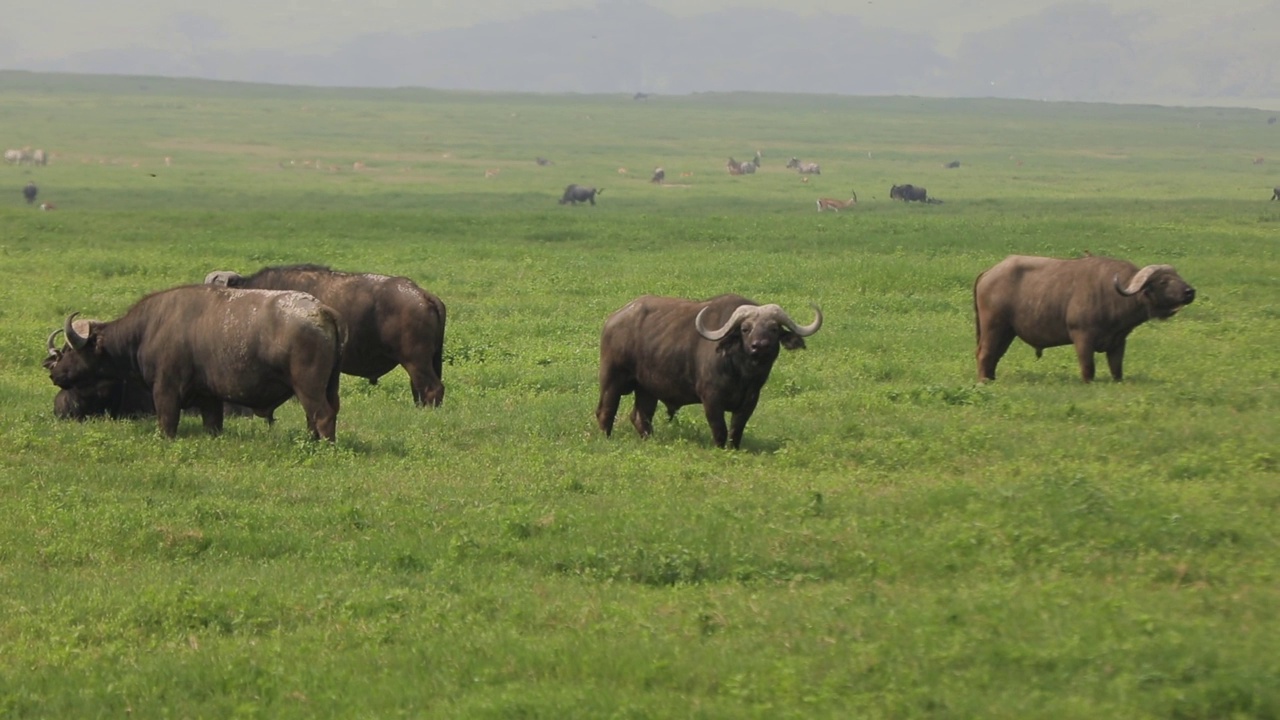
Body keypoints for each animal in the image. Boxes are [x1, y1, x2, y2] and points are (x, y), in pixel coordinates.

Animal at [49, 284, 343, 438]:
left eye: (69, 350)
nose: (53, 372)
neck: (147, 329)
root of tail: (321, 310)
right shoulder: (210, 397)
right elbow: (213, 424)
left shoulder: (165, 390)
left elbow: (167, 422)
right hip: (329, 387)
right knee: (320, 415)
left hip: (308, 387)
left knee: (322, 415)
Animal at [596, 294, 824, 445]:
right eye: (745, 329)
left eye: (774, 329)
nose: (759, 346)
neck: (742, 374)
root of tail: (612, 320)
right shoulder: (711, 398)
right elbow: (720, 429)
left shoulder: (751, 399)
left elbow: (736, 429)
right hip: (611, 379)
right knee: (606, 411)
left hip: (647, 388)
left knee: (640, 416)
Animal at [972, 254, 1192, 384]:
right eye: (1163, 281)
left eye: (1177, 276)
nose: (1190, 291)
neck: (1114, 295)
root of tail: (988, 273)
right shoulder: (1083, 337)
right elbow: (1088, 368)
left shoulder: (1118, 342)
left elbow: (1117, 369)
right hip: (993, 326)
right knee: (986, 353)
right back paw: (984, 381)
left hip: (1007, 332)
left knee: (995, 355)